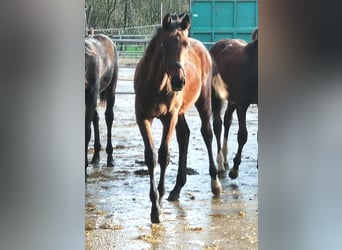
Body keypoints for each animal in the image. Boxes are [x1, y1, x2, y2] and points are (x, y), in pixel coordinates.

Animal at [134, 12, 227, 224]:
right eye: (164, 44)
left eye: (185, 45)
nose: (179, 82)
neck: (157, 84)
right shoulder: (142, 117)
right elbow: (151, 155)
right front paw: (155, 205)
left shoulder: (169, 117)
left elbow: (164, 155)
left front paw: (158, 203)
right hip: (181, 112)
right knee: (184, 136)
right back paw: (177, 189)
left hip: (202, 102)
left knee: (207, 133)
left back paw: (215, 183)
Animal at [210, 28, 258, 179]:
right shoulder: (242, 104)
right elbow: (242, 135)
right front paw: (235, 169)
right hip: (216, 96)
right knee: (218, 125)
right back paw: (220, 166)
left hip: (232, 100)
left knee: (227, 121)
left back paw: (225, 161)